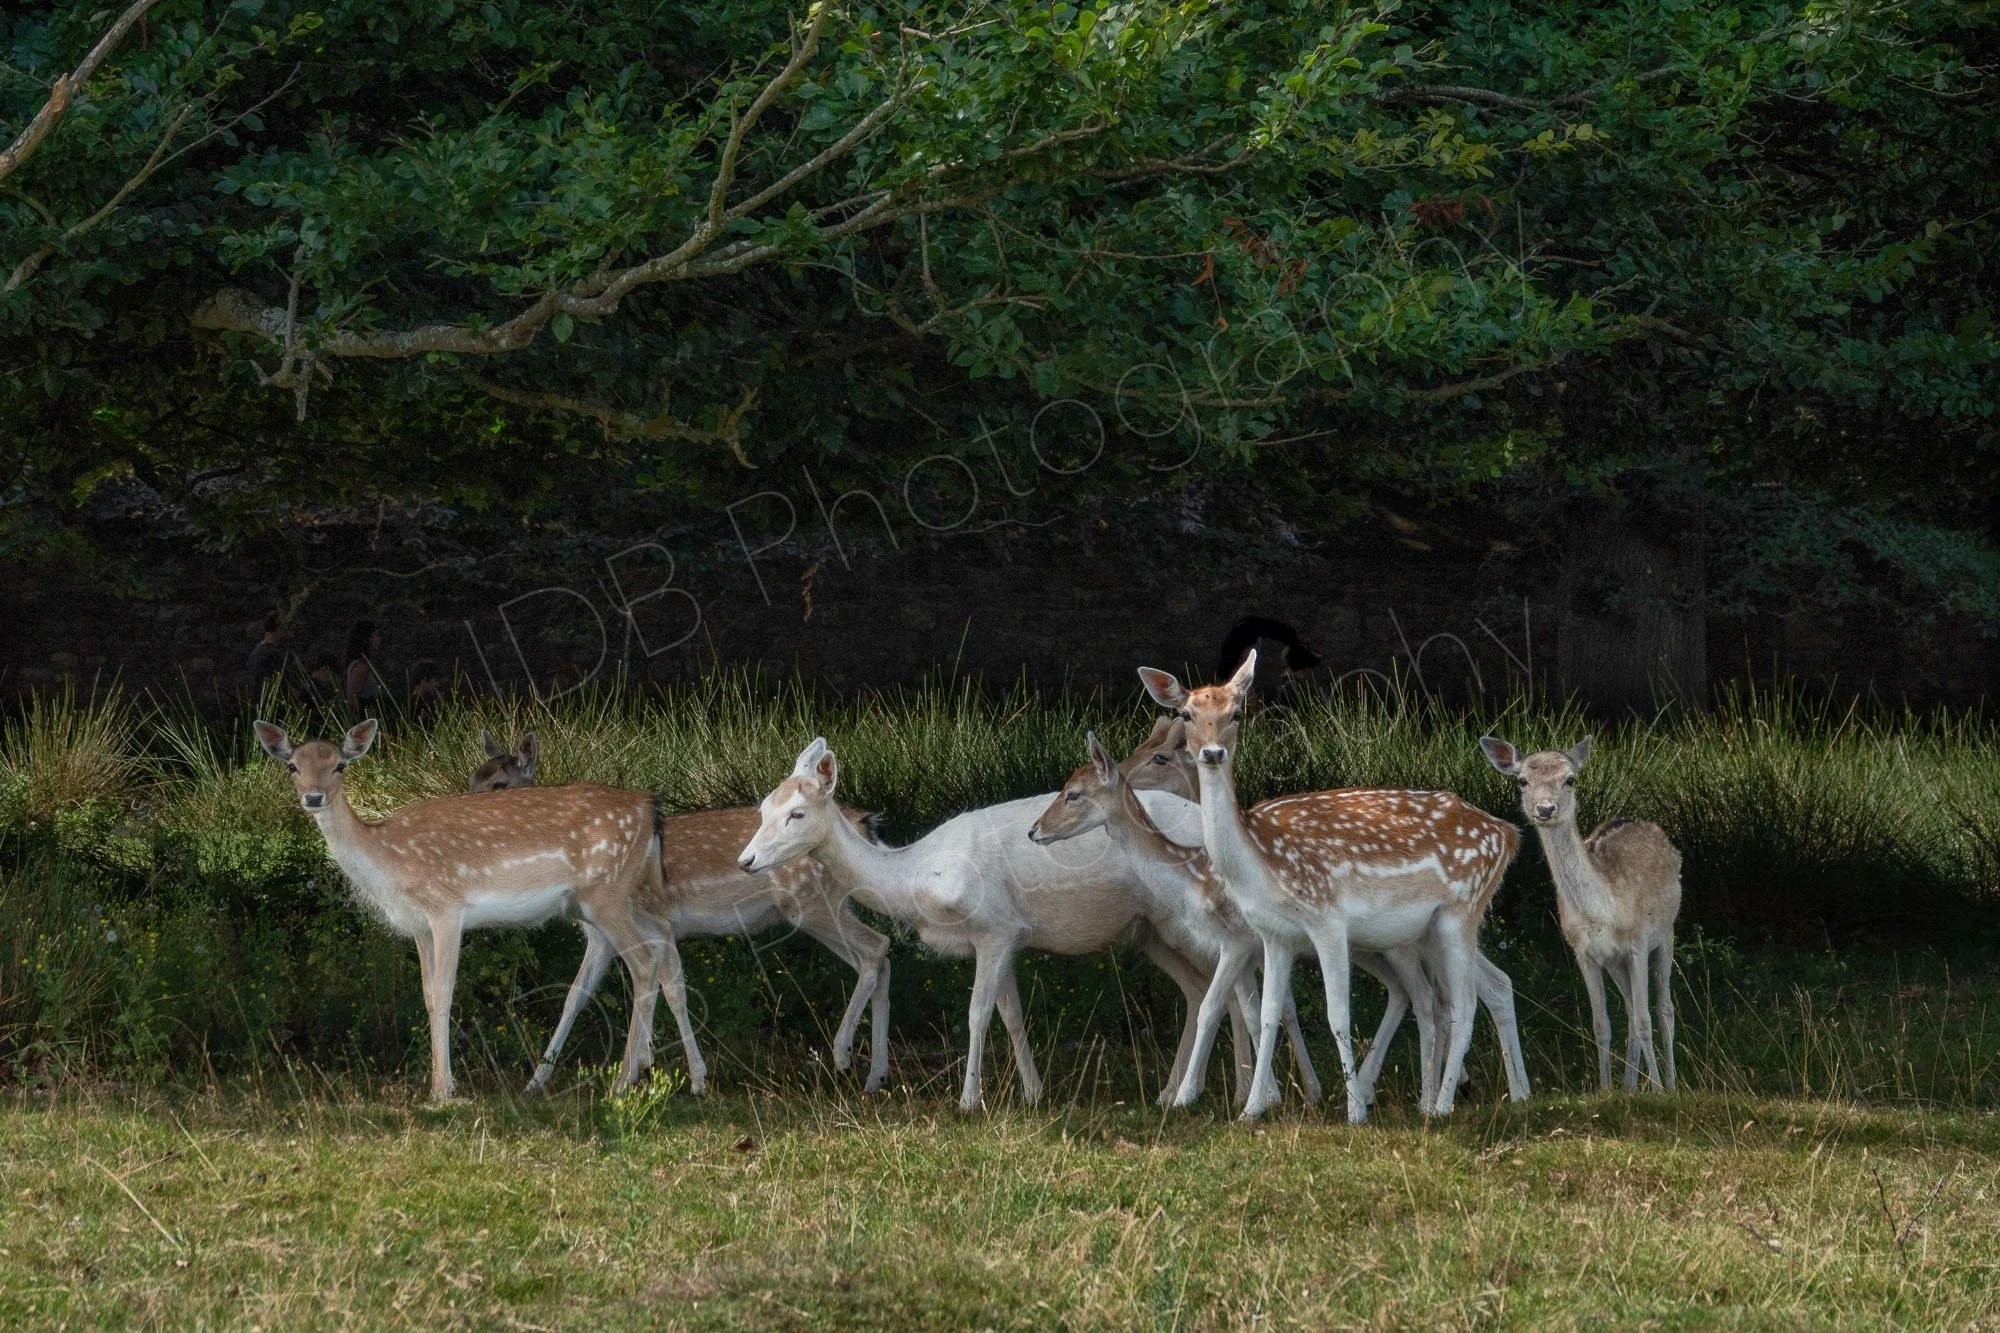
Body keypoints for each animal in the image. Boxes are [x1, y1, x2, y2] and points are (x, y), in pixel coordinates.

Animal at [253, 718, 673, 1102]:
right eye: (292, 766)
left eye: (340, 764)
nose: (313, 797)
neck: (389, 860)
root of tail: (648, 808)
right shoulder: (419, 925)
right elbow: (426, 995)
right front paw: (438, 1084)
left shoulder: (446, 908)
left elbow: (444, 992)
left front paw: (443, 1092)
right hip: (605, 902)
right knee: (652, 948)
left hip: (607, 893)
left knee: (645, 960)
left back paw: (622, 1083)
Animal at [465, 735, 892, 1098]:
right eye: (473, 778)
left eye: (499, 783)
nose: (465, 810)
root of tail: (864, 825)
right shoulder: (601, 934)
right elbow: (576, 995)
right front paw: (538, 1081)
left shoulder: (657, 922)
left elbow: (671, 990)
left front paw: (686, 1077)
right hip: (829, 904)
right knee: (878, 960)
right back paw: (875, 1076)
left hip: (811, 902)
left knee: (876, 947)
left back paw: (843, 1054)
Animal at [739, 737, 1262, 1113]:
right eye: (763, 808)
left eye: (797, 813)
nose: (746, 861)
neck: (917, 877)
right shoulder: (1008, 937)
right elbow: (1011, 1013)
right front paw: (1033, 1093)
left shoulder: (994, 927)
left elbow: (977, 1012)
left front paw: (970, 1100)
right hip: (1152, 932)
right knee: (1199, 990)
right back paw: (1172, 1092)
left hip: (1195, 919)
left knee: (1233, 987)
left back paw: (1235, 1093)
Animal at [1140, 652, 1520, 1122]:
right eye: (1187, 714)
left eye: (1237, 713)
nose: (1212, 753)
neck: (1262, 864)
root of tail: (1509, 834)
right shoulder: (1274, 935)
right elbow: (1268, 1014)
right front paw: (1252, 1110)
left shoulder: (1328, 920)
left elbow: (1337, 1014)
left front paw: (1355, 1112)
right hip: (1431, 930)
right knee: (1471, 993)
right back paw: (1474, 1098)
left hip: (1461, 910)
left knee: (1464, 1005)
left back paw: (1441, 1106)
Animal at [1478, 735, 1681, 1092]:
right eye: (1522, 780)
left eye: (1570, 779)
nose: (1545, 808)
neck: (1603, 909)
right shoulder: (1585, 954)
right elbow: (1601, 1024)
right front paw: (1606, 1089)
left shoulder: (1637, 943)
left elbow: (1646, 1019)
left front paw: (1657, 1089)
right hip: (1616, 963)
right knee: (1630, 1011)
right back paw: (1630, 1087)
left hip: (1666, 934)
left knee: (1663, 1009)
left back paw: (1669, 1084)